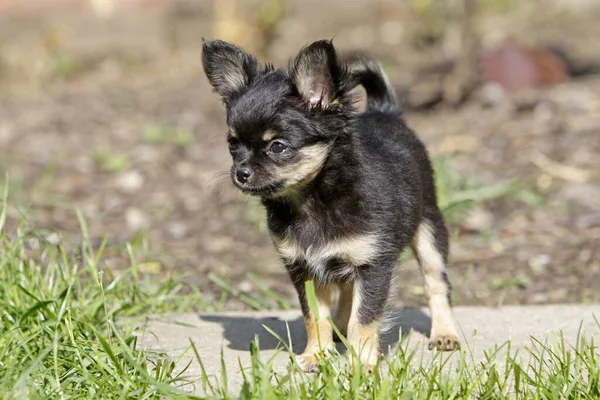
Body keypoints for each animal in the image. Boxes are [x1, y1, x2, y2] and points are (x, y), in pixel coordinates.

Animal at [202, 39, 460, 370]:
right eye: (233, 145)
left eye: (278, 146)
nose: (241, 173)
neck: (311, 200)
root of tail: (384, 110)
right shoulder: (304, 268)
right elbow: (315, 316)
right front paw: (316, 355)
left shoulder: (373, 265)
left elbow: (365, 318)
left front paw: (361, 365)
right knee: (347, 290)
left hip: (429, 229)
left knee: (436, 282)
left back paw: (444, 333)